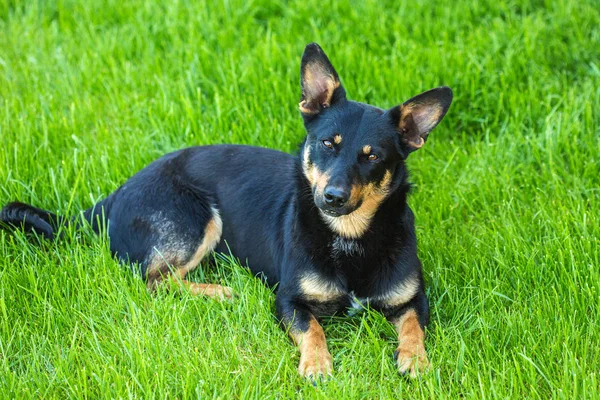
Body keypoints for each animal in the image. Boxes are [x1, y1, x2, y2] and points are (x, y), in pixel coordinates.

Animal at [0, 43, 450, 378]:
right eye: (327, 143)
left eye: (373, 157)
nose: (332, 197)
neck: (350, 237)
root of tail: (111, 197)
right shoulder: (288, 301)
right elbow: (313, 329)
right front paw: (317, 365)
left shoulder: (414, 298)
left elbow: (413, 328)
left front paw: (416, 360)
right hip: (196, 218)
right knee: (154, 281)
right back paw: (217, 290)